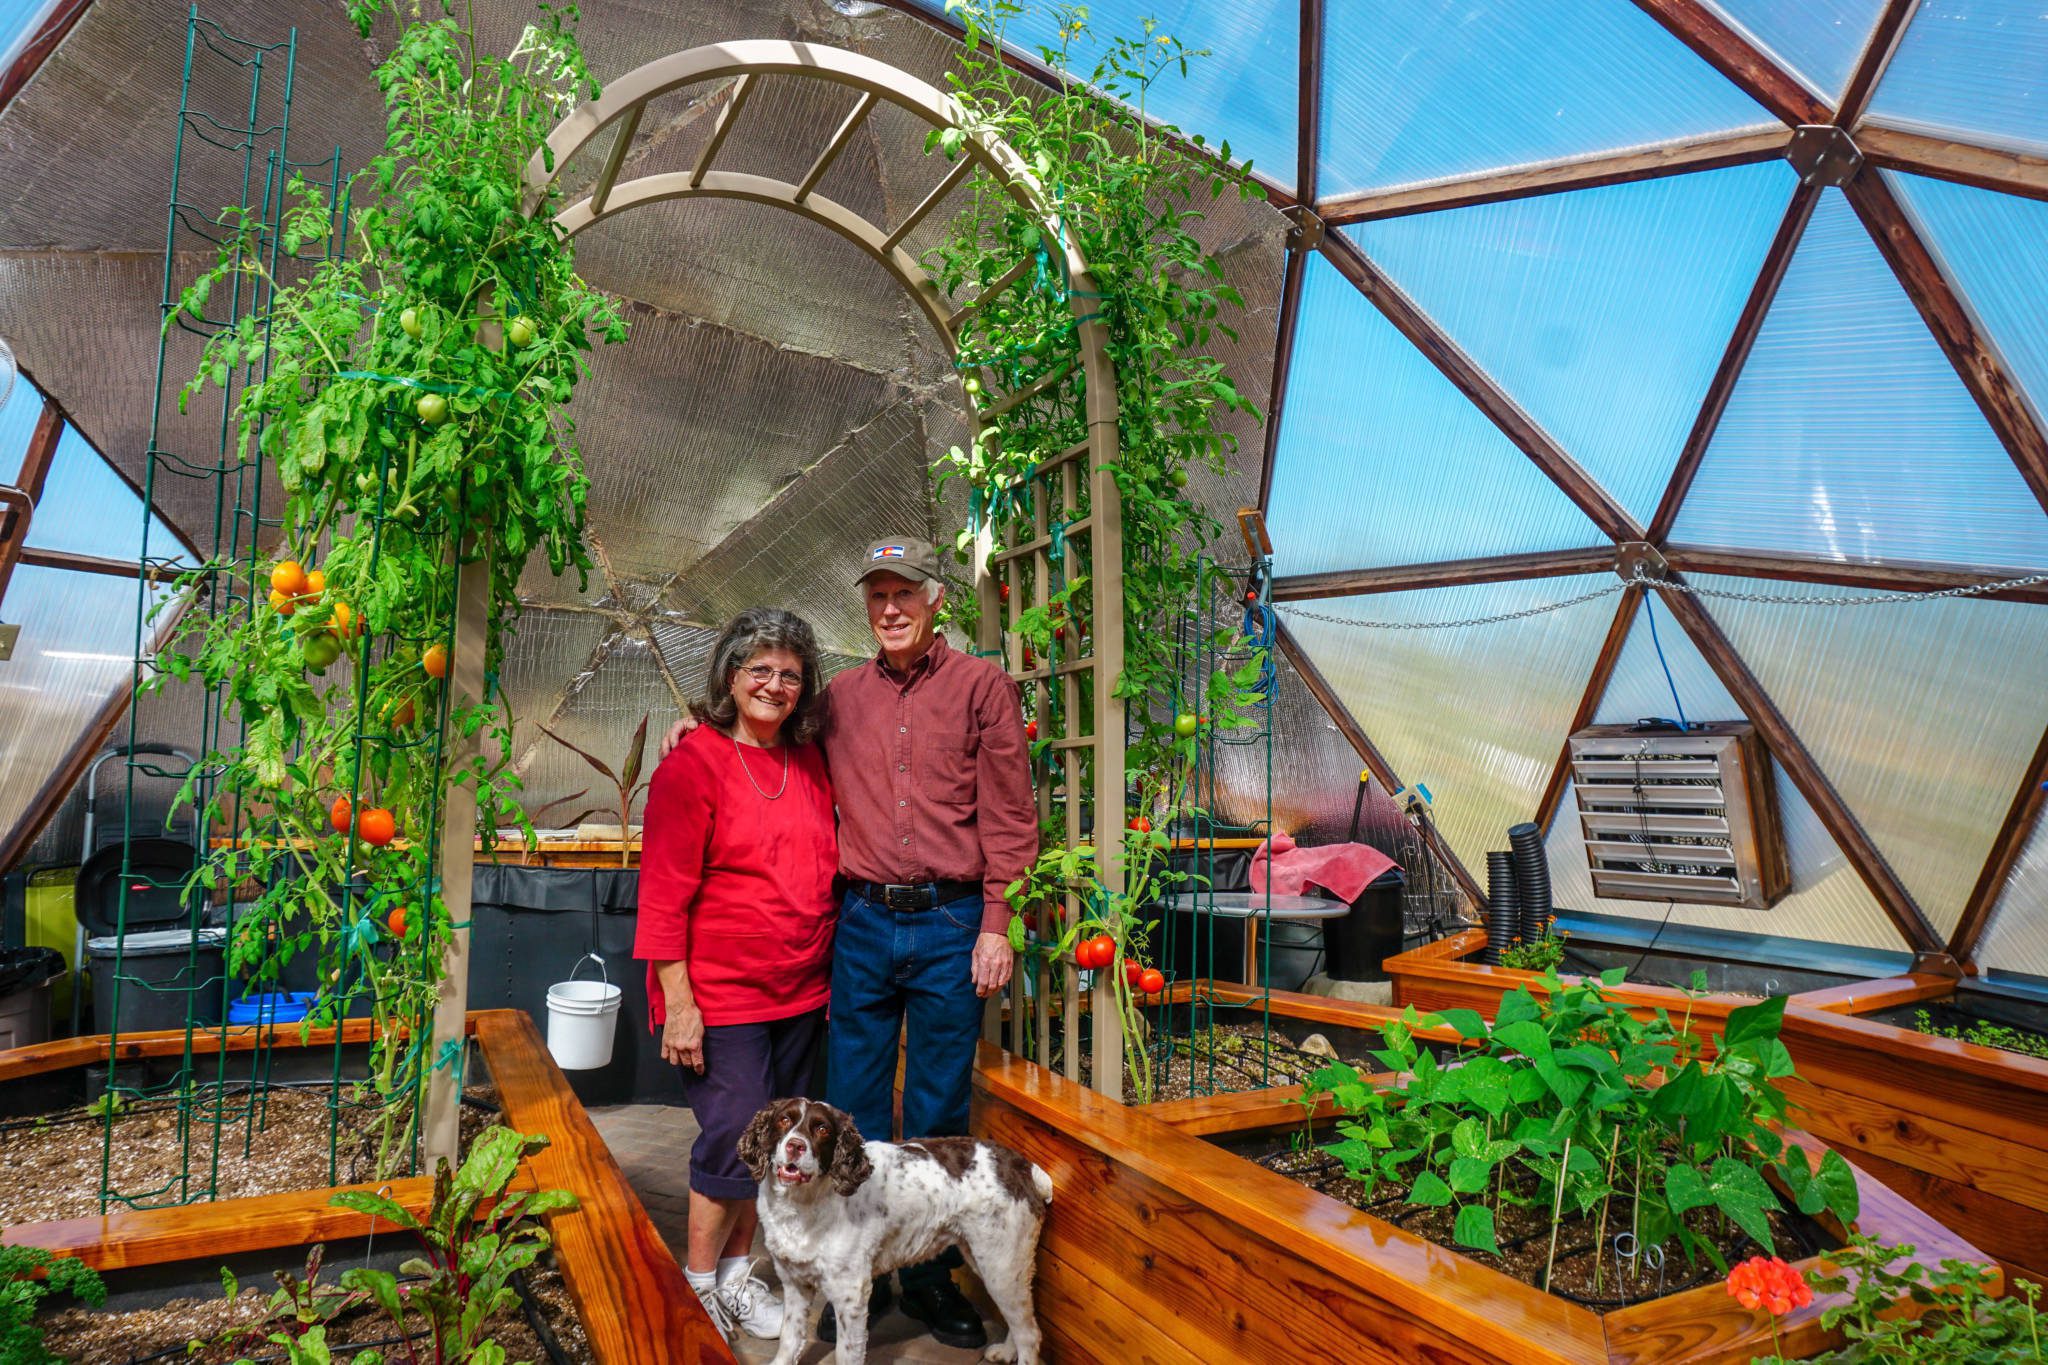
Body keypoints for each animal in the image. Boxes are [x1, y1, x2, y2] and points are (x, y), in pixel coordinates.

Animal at [741, 1096, 1056, 1365]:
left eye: (822, 1129)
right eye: (784, 1120)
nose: (795, 1146)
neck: (802, 1206)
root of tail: (1023, 1166)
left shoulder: (851, 1292)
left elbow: (846, 1352)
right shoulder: (794, 1281)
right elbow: (789, 1338)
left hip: (1001, 1263)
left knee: (1030, 1333)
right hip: (987, 1260)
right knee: (1018, 1319)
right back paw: (1006, 1352)